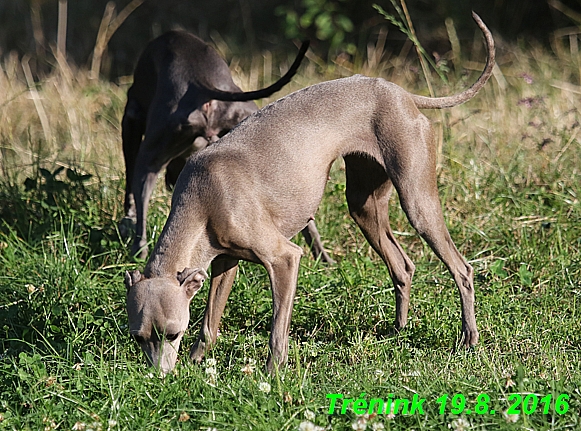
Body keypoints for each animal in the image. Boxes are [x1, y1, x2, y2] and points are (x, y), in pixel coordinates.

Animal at [119, 32, 330, 262]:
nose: (170, 183)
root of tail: (199, 82)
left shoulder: (131, 119)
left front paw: (127, 220)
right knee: (307, 218)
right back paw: (324, 259)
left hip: (149, 155)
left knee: (141, 208)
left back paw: (138, 251)